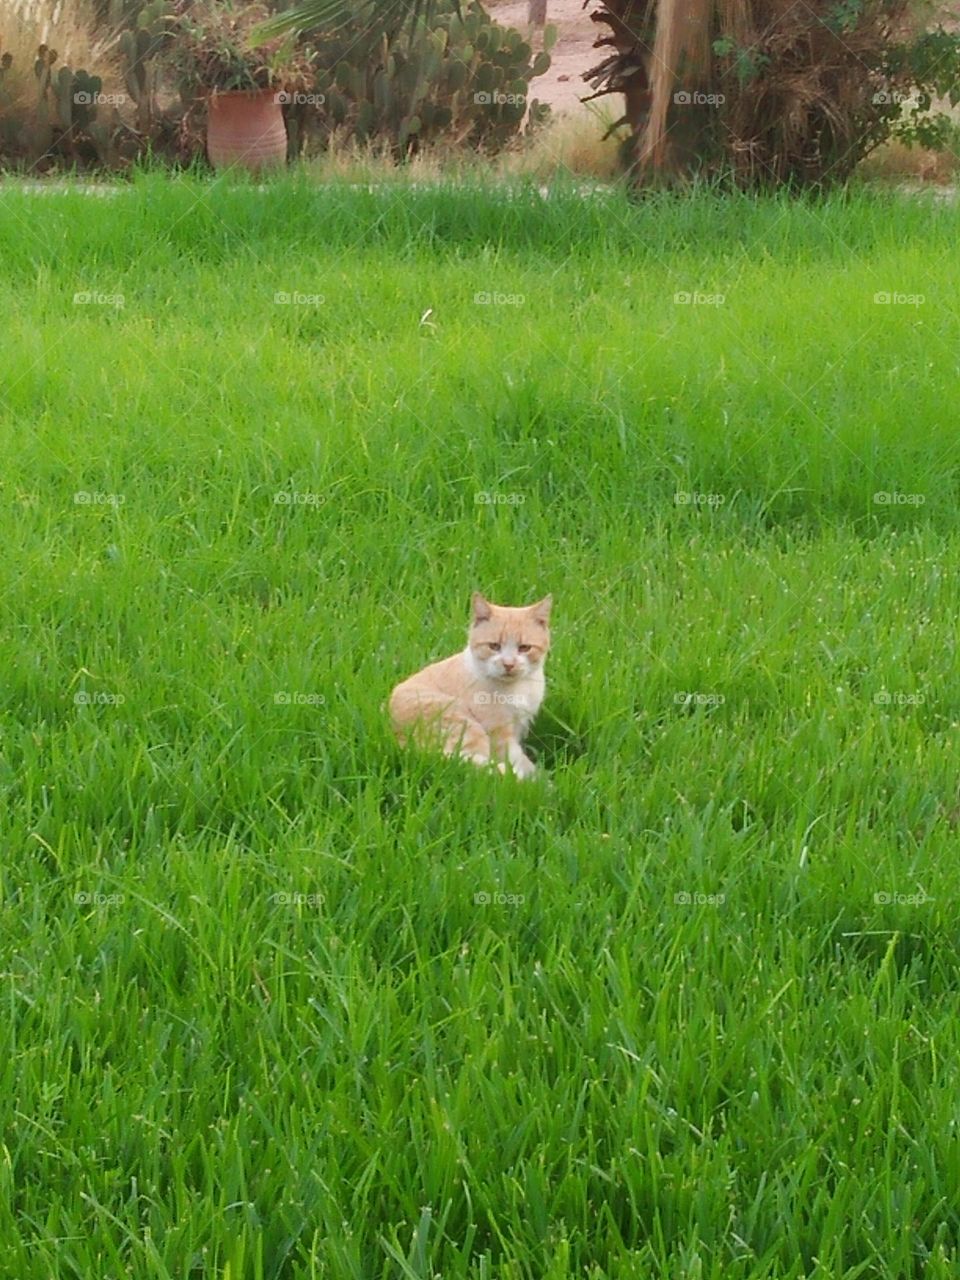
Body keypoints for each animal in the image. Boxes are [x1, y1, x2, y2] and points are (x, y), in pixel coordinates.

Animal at [391, 591, 555, 778]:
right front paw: (538, 779)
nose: (508, 664)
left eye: (524, 648)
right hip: (463, 723)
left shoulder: (518, 725)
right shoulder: (499, 733)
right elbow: (518, 760)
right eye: (494, 646)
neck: (518, 687)